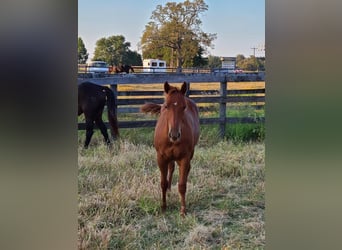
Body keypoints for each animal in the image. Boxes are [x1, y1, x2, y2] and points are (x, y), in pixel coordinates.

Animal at [141, 81, 200, 216]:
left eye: (184, 107)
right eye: (166, 106)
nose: (174, 135)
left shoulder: (184, 157)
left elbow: (182, 185)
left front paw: (183, 210)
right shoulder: (161, 158)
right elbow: (163, 183)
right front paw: (163, 207)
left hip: (190, 153)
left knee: (186, 169)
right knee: (171, 168)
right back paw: (168, 190)